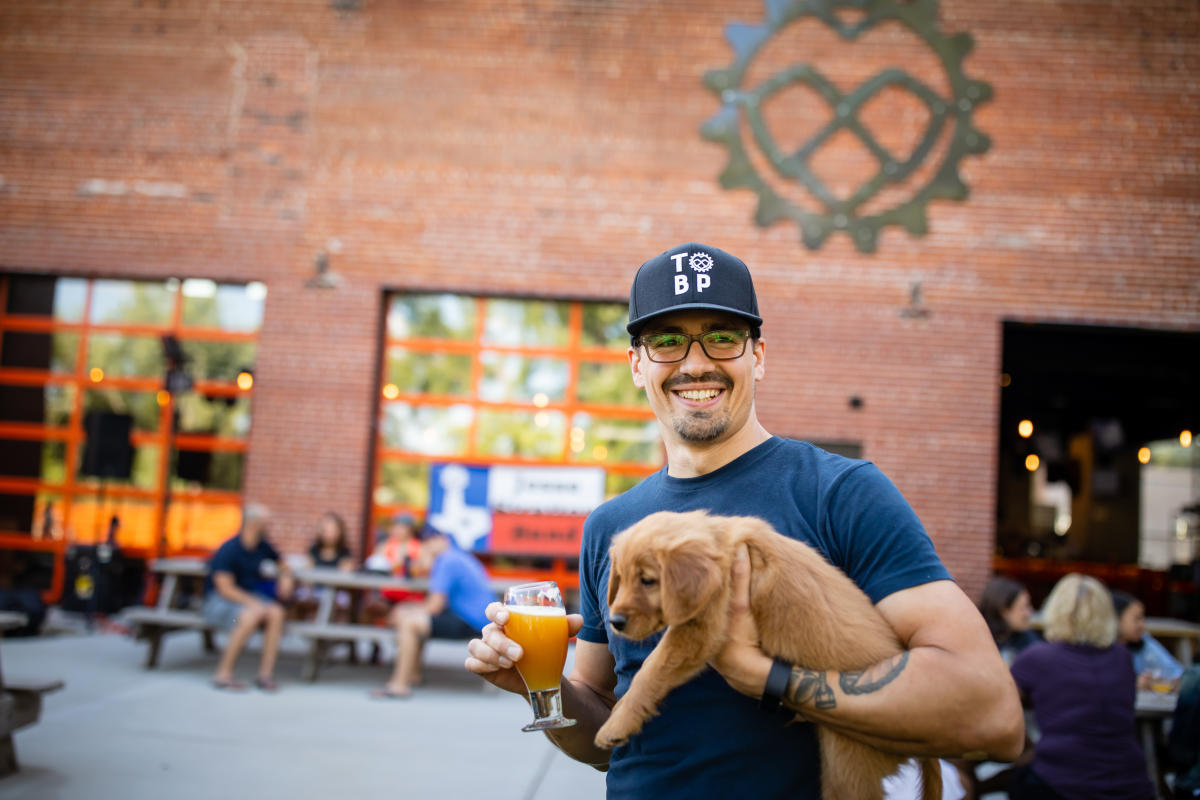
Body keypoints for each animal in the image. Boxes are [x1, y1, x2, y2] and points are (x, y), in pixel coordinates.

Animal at [595, 510, 940, 800]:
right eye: (621, 577)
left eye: (648, 581)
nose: (616, 622)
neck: (725, 543)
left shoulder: (701, 630)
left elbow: (651, 670)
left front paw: (617, 724)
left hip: (848, 763)